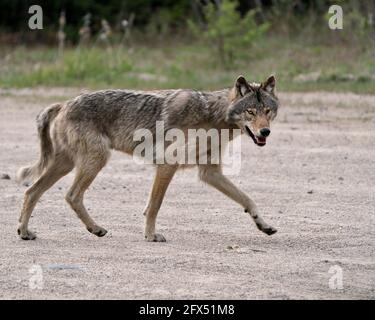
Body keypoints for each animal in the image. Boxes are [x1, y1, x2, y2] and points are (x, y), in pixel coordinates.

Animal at [15, 74, 280, 240]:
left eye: (268, 111)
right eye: (250, 112)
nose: (265, 132)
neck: (213, 116)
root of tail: (64, 103)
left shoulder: (210, 172)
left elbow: (247, 199)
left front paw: (263, 225)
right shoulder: (167, 164)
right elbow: (155, 205)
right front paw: (151, 235)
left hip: (67, 164)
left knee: (31, 192)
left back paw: (25, 232)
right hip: (95, 160)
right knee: (70, 195)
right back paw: (95, 228)